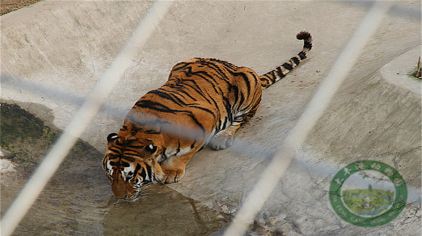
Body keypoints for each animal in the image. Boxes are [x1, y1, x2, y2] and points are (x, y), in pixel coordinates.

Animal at [102, 31, 314, 200]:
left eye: (130, 176)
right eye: (111, 174)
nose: (119, 197)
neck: (136, 133)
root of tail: (232, 65)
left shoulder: (204, 123)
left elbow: (186, 154)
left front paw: (171, 172)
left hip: (246, 86)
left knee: (243, 119)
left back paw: (222, 138)